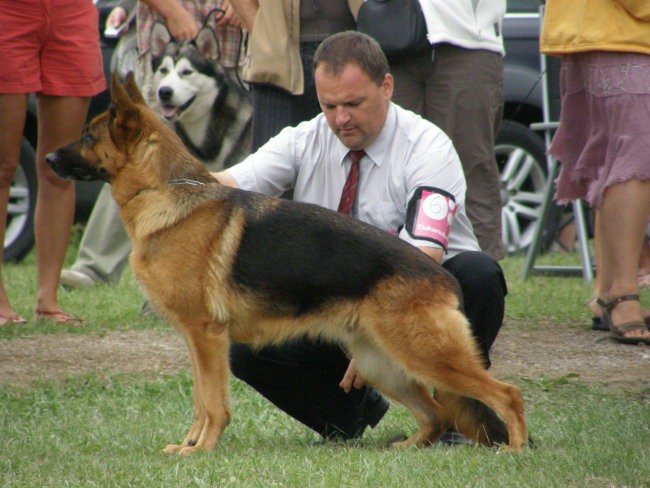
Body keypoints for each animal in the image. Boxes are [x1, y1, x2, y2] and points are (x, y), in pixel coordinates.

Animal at [49, 74, 528, 456]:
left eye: (89, 137)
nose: (48, 159)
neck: (164, 189)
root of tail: (441, 277)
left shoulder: (207, 338)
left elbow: (213, 404)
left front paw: (200, 450)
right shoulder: (196, 341)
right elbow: (201, 401)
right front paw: (189, 444)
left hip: (427, 357)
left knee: (507, 394)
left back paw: (515, 450)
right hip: (383, 364)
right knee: (435, 414)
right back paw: (407, 448)